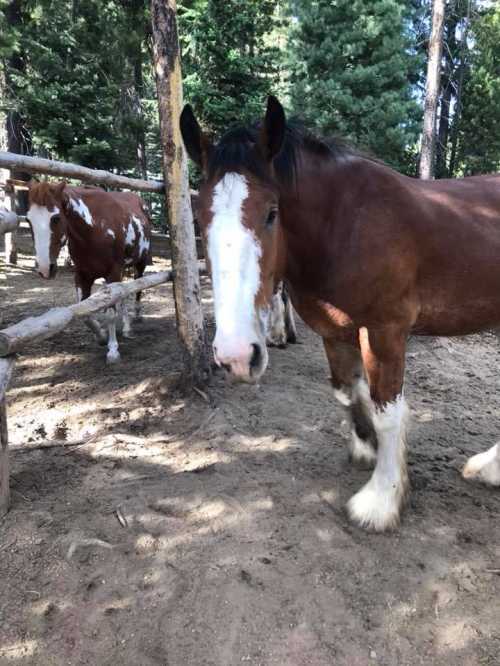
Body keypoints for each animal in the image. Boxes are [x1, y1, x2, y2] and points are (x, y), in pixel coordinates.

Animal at [26, 179, 150, 360]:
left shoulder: (113, 273)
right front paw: (101, 336)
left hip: (139, 264)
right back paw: (126, 327)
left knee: (138, 289)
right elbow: (85, 313)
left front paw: (113, 350)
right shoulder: (82, 276)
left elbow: (110, 313)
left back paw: (134, 319)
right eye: (28, 220)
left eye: (56, 218)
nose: (45, 268)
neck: (95, 228)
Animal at [182, 94, 500, 528]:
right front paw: (367, 447)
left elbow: (387, 411)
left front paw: (382, 499)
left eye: (271, 213)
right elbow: (348, 392)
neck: (346, 225)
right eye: (199, 219)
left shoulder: (386, 330)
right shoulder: (333, 331)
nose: (237, 356)